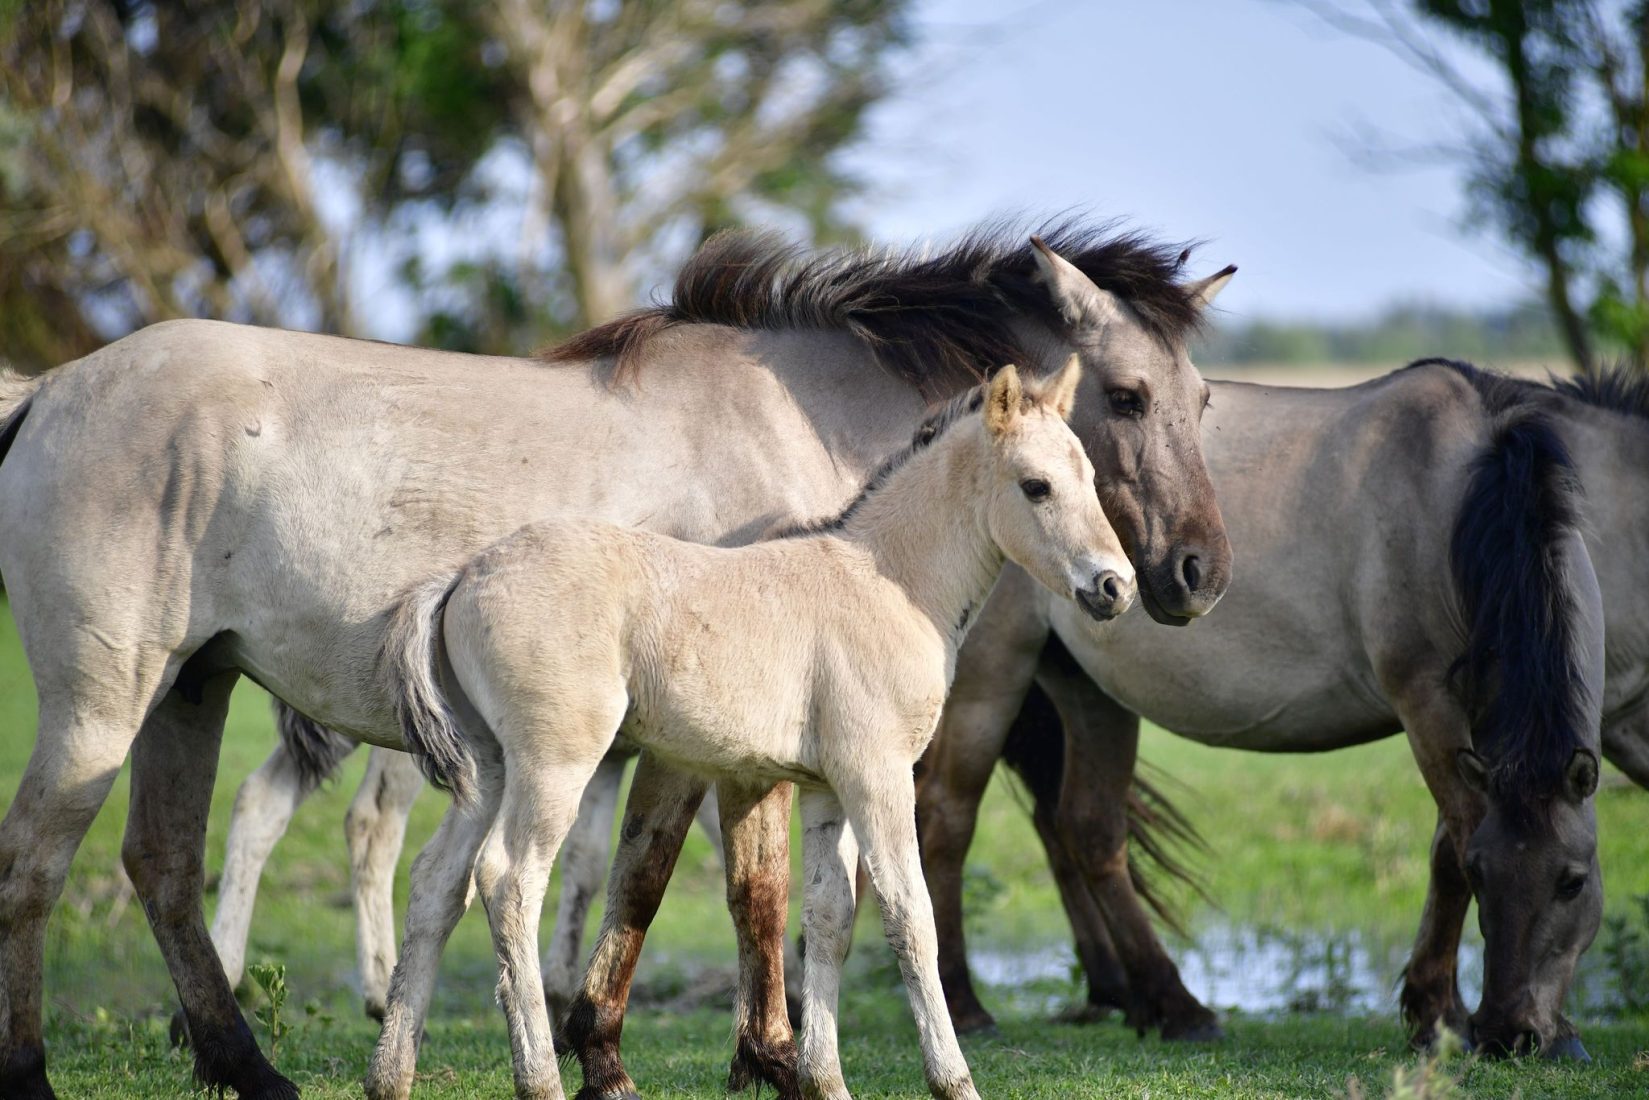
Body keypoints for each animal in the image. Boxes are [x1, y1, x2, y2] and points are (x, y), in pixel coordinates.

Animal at [0, 217, 1240, 1100]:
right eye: (1127, 397)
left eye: (1203, 399)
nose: (1190, 573)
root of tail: (51, 388)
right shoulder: (718, 747)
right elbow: (698, 883)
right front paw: (662, 1054)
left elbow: (738, 891)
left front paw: (737, 1055)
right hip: (105, 699)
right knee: (36, 862)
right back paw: (37, 1069)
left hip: (195, 687)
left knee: (165, 864)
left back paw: (248, 1064)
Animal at [930, 357, 1609, 1062]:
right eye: (1486, 875)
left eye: (1573, 880)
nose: (1511, 1032)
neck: (1455, 501)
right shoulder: (1426, 699)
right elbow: (1457, 838)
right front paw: (1439, 1015)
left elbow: (1447, 841)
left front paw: (1448, 1015)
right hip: (990, 680)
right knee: (947, 821)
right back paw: (967, 1006)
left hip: (1087, 690)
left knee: (1089, 830)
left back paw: (1172, 1006)